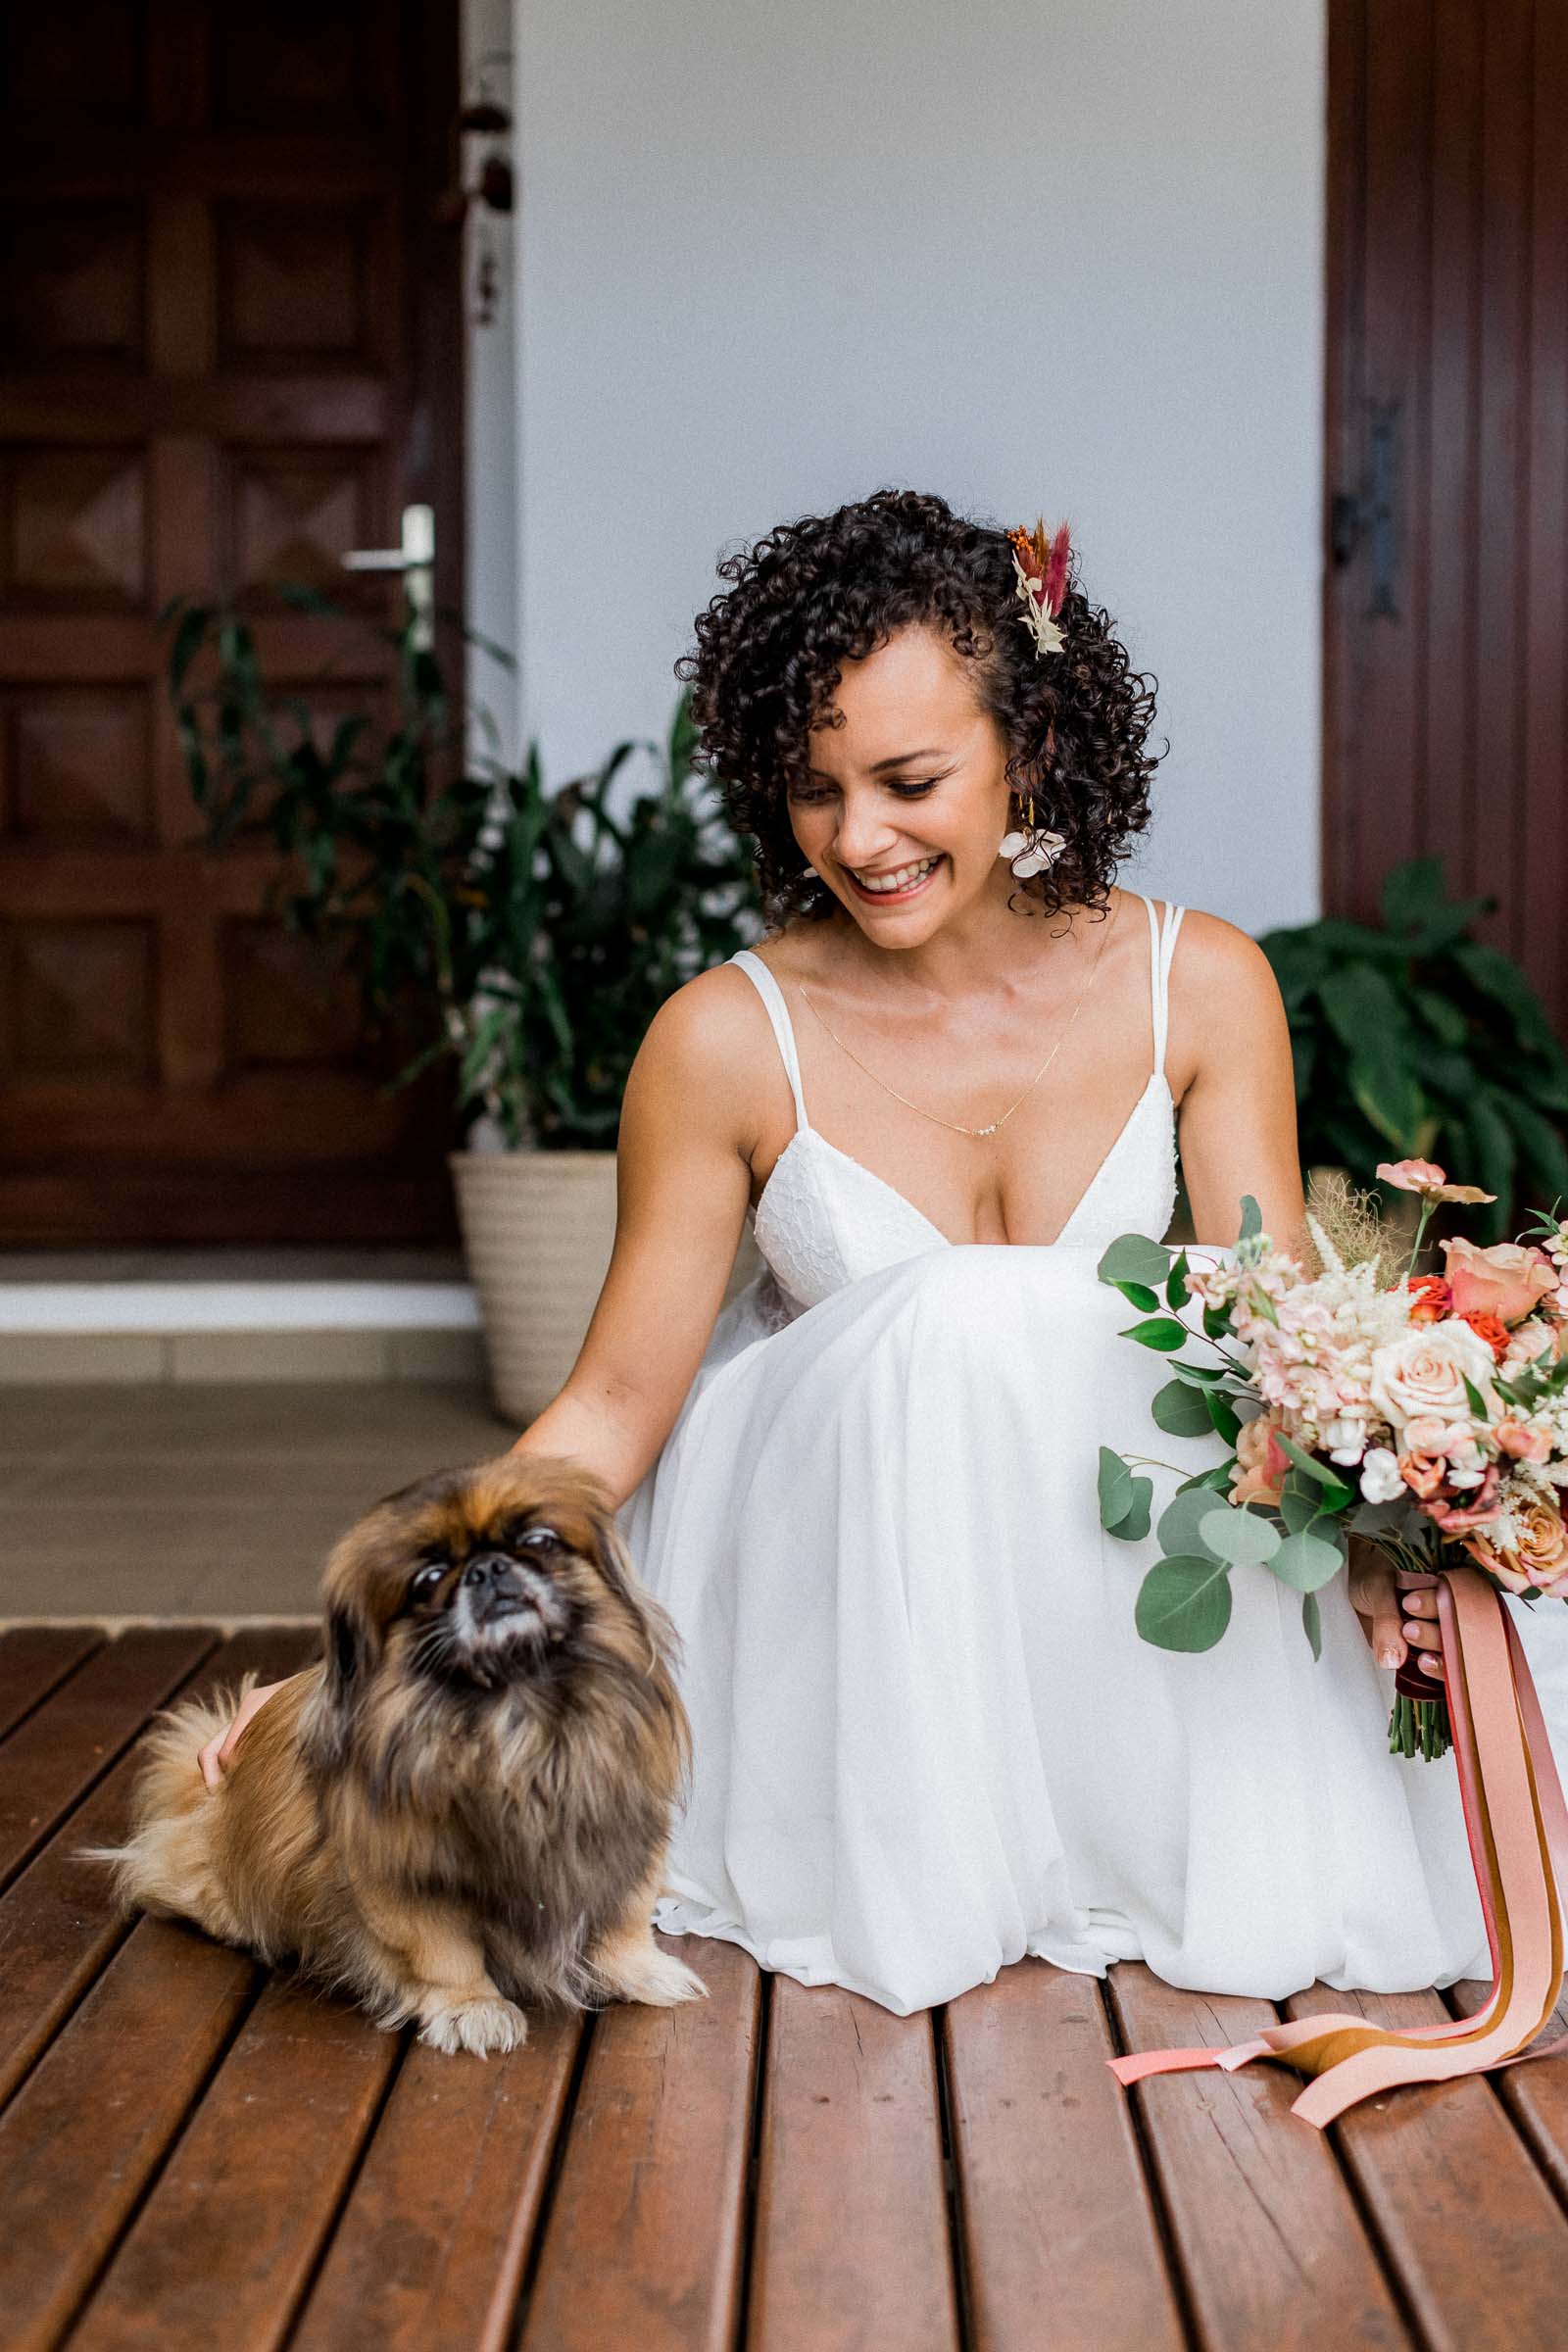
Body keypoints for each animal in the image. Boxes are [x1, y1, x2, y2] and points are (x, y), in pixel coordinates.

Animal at [79, 1458, 705, 2050]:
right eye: (428, 1579)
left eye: (539, 1540)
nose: (487, 1568)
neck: (514, 1717)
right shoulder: (407, 1876)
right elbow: (444, 1952)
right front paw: (472, 2010)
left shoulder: (622, 1840)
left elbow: (624, 1923)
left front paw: (644, 1973)